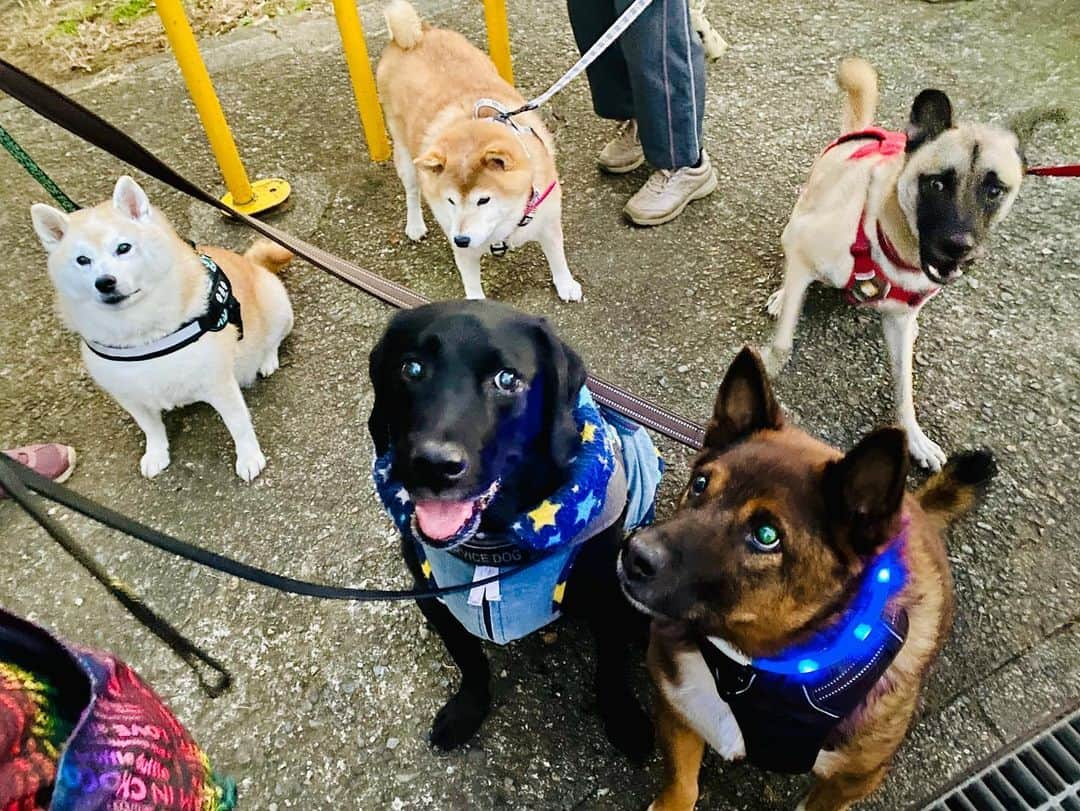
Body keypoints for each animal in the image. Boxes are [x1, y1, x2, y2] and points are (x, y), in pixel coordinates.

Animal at [617, 347, 993, 811]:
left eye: (766, 536)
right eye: (701, 483)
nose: (634, 554)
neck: (757, 667)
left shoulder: (856, 775)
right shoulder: (679, 711)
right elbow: (681, 786)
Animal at [764, 57, 1023, 468]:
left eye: (995, 190)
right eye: (937, 183)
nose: (958, 247)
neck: (885, 240)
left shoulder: (899, 321)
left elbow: (904, 391)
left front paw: (914, 438)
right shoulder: (803, 244)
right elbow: (783, 342)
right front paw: (767, 369)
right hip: (797, 219)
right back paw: (781, 296)